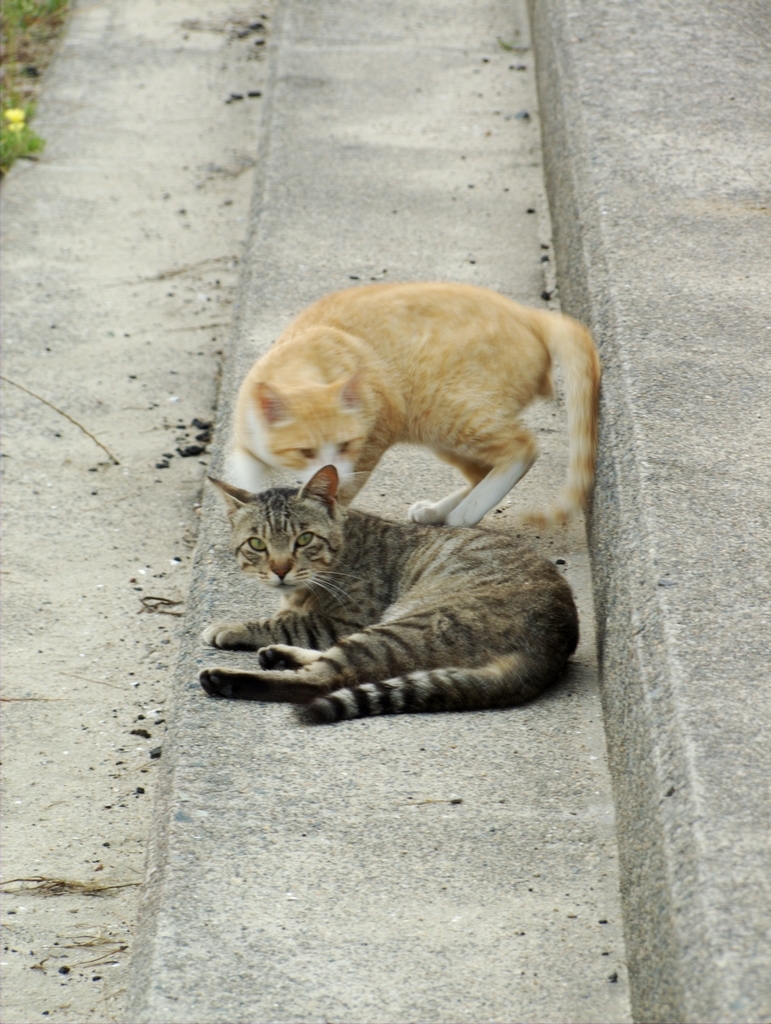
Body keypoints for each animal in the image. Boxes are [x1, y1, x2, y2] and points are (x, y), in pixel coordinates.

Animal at [199, 464, 577, 720]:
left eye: (304, 539)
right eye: (257, 544)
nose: (280, 570)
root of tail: (549, 652)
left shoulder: (346, 621)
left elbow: (286, 622)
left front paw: (231, 627)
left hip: (402, 626)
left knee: (324, 679)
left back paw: (226, 679)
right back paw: (278, 656)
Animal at [228, 286, 602, 532]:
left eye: (347, 445)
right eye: (305, 451)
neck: (305, 361)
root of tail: (530, 315)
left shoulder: (372, 441)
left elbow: (338, 492)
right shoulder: (247, 431)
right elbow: (245, 466)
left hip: (445, 410)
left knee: (522, 448)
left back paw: (467, 513)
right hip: (440, 431)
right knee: (482, 470)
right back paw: (439, 511)